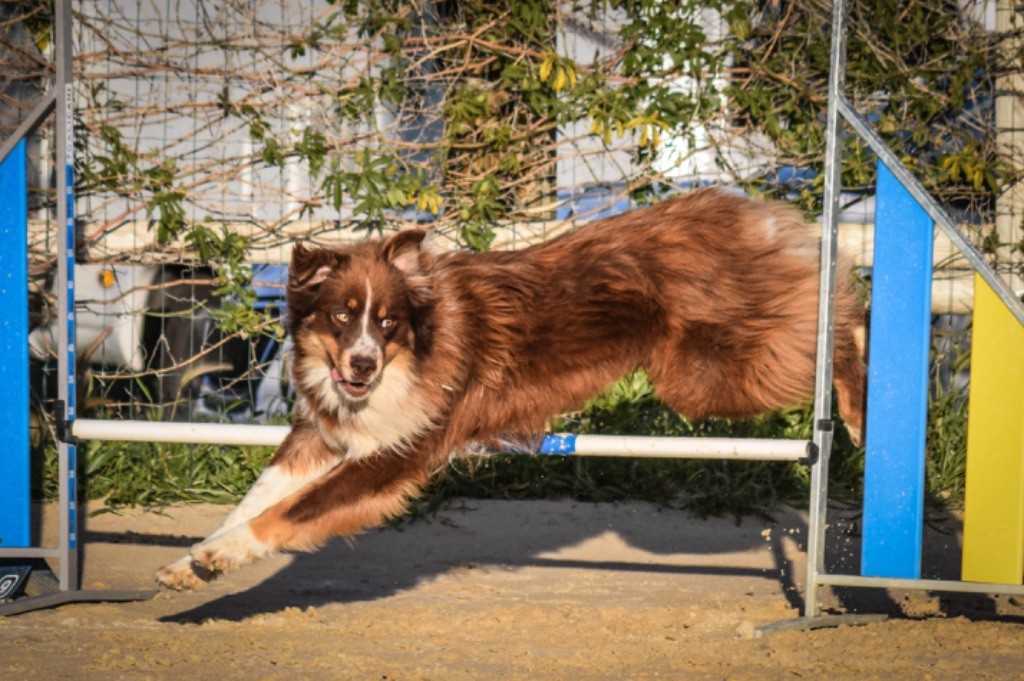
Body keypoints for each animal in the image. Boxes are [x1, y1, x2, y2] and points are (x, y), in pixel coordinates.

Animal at [155, 187, 868, 589]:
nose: (360, 367)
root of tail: (741, 209)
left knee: (841, 315)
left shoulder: (396, 455)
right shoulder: (323, 434)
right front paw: (193, 562)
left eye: (385, 323)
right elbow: (257, 497)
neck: (412, 358)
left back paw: (863, 405)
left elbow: (284, 513)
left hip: (712, 372)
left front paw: (217, 559)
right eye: (339, 316)